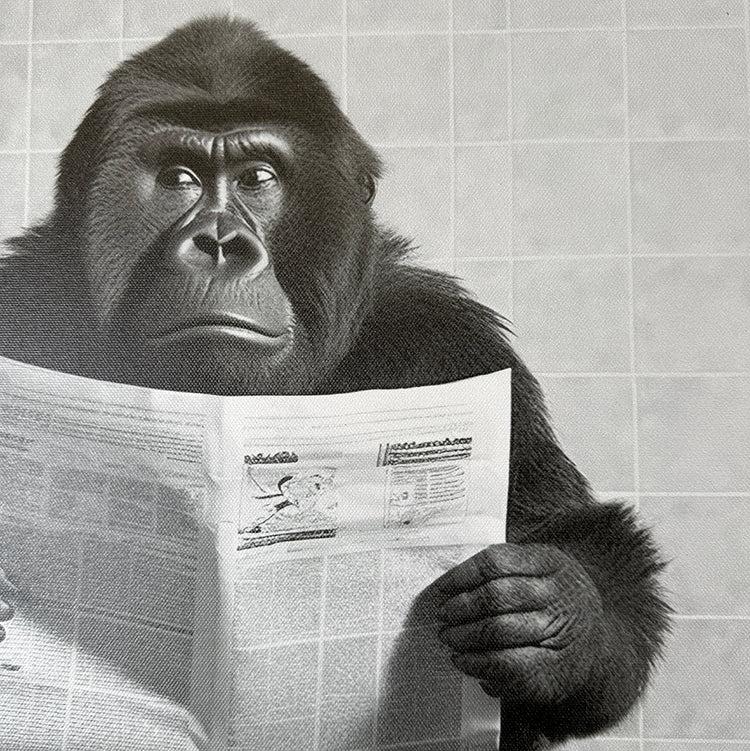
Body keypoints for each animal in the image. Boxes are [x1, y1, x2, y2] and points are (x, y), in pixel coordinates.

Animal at [0, 17, 669, 751]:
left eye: (258, 178)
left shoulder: (449, 338)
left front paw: (558, 620)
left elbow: (577, 534)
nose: (220, 243)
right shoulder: (22, 299)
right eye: (178, 178)